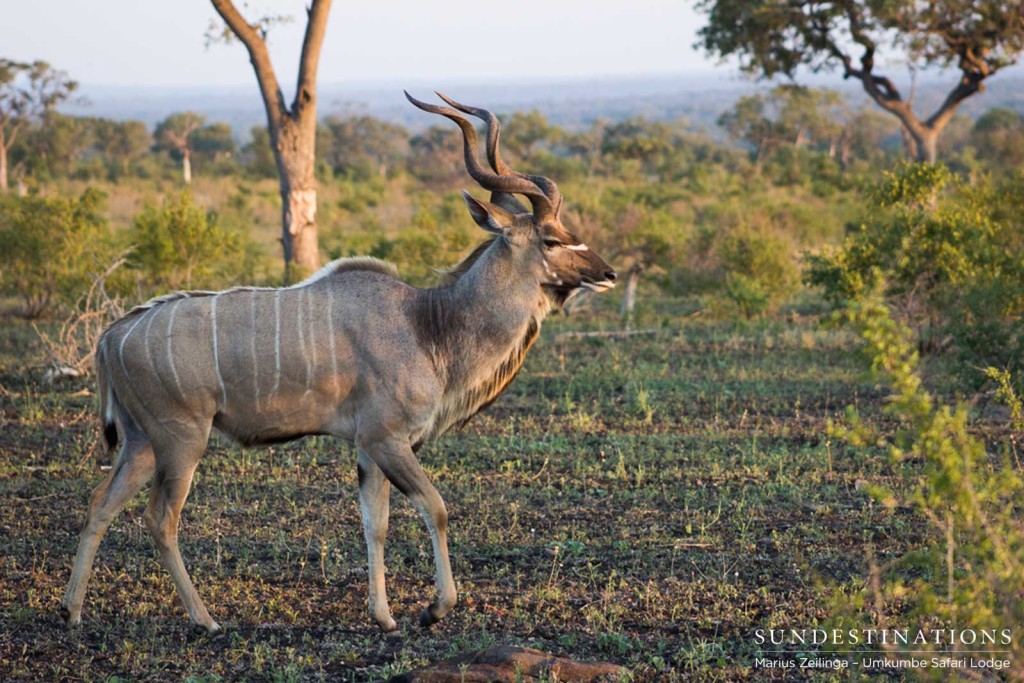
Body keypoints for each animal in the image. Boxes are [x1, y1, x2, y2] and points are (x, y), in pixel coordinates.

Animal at [61, 92, 614, 634]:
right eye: (552, 240)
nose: (607, 273)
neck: (428, 325)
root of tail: (110, 336)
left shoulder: (369, 449)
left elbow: (376, 523)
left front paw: (384, 616)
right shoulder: (388, 440)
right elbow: (435, 509)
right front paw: (434, 608)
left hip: (141, 443)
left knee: (98, 504)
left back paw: (72, 610)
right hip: (181, 440)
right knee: (160, 518)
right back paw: (206, 619)